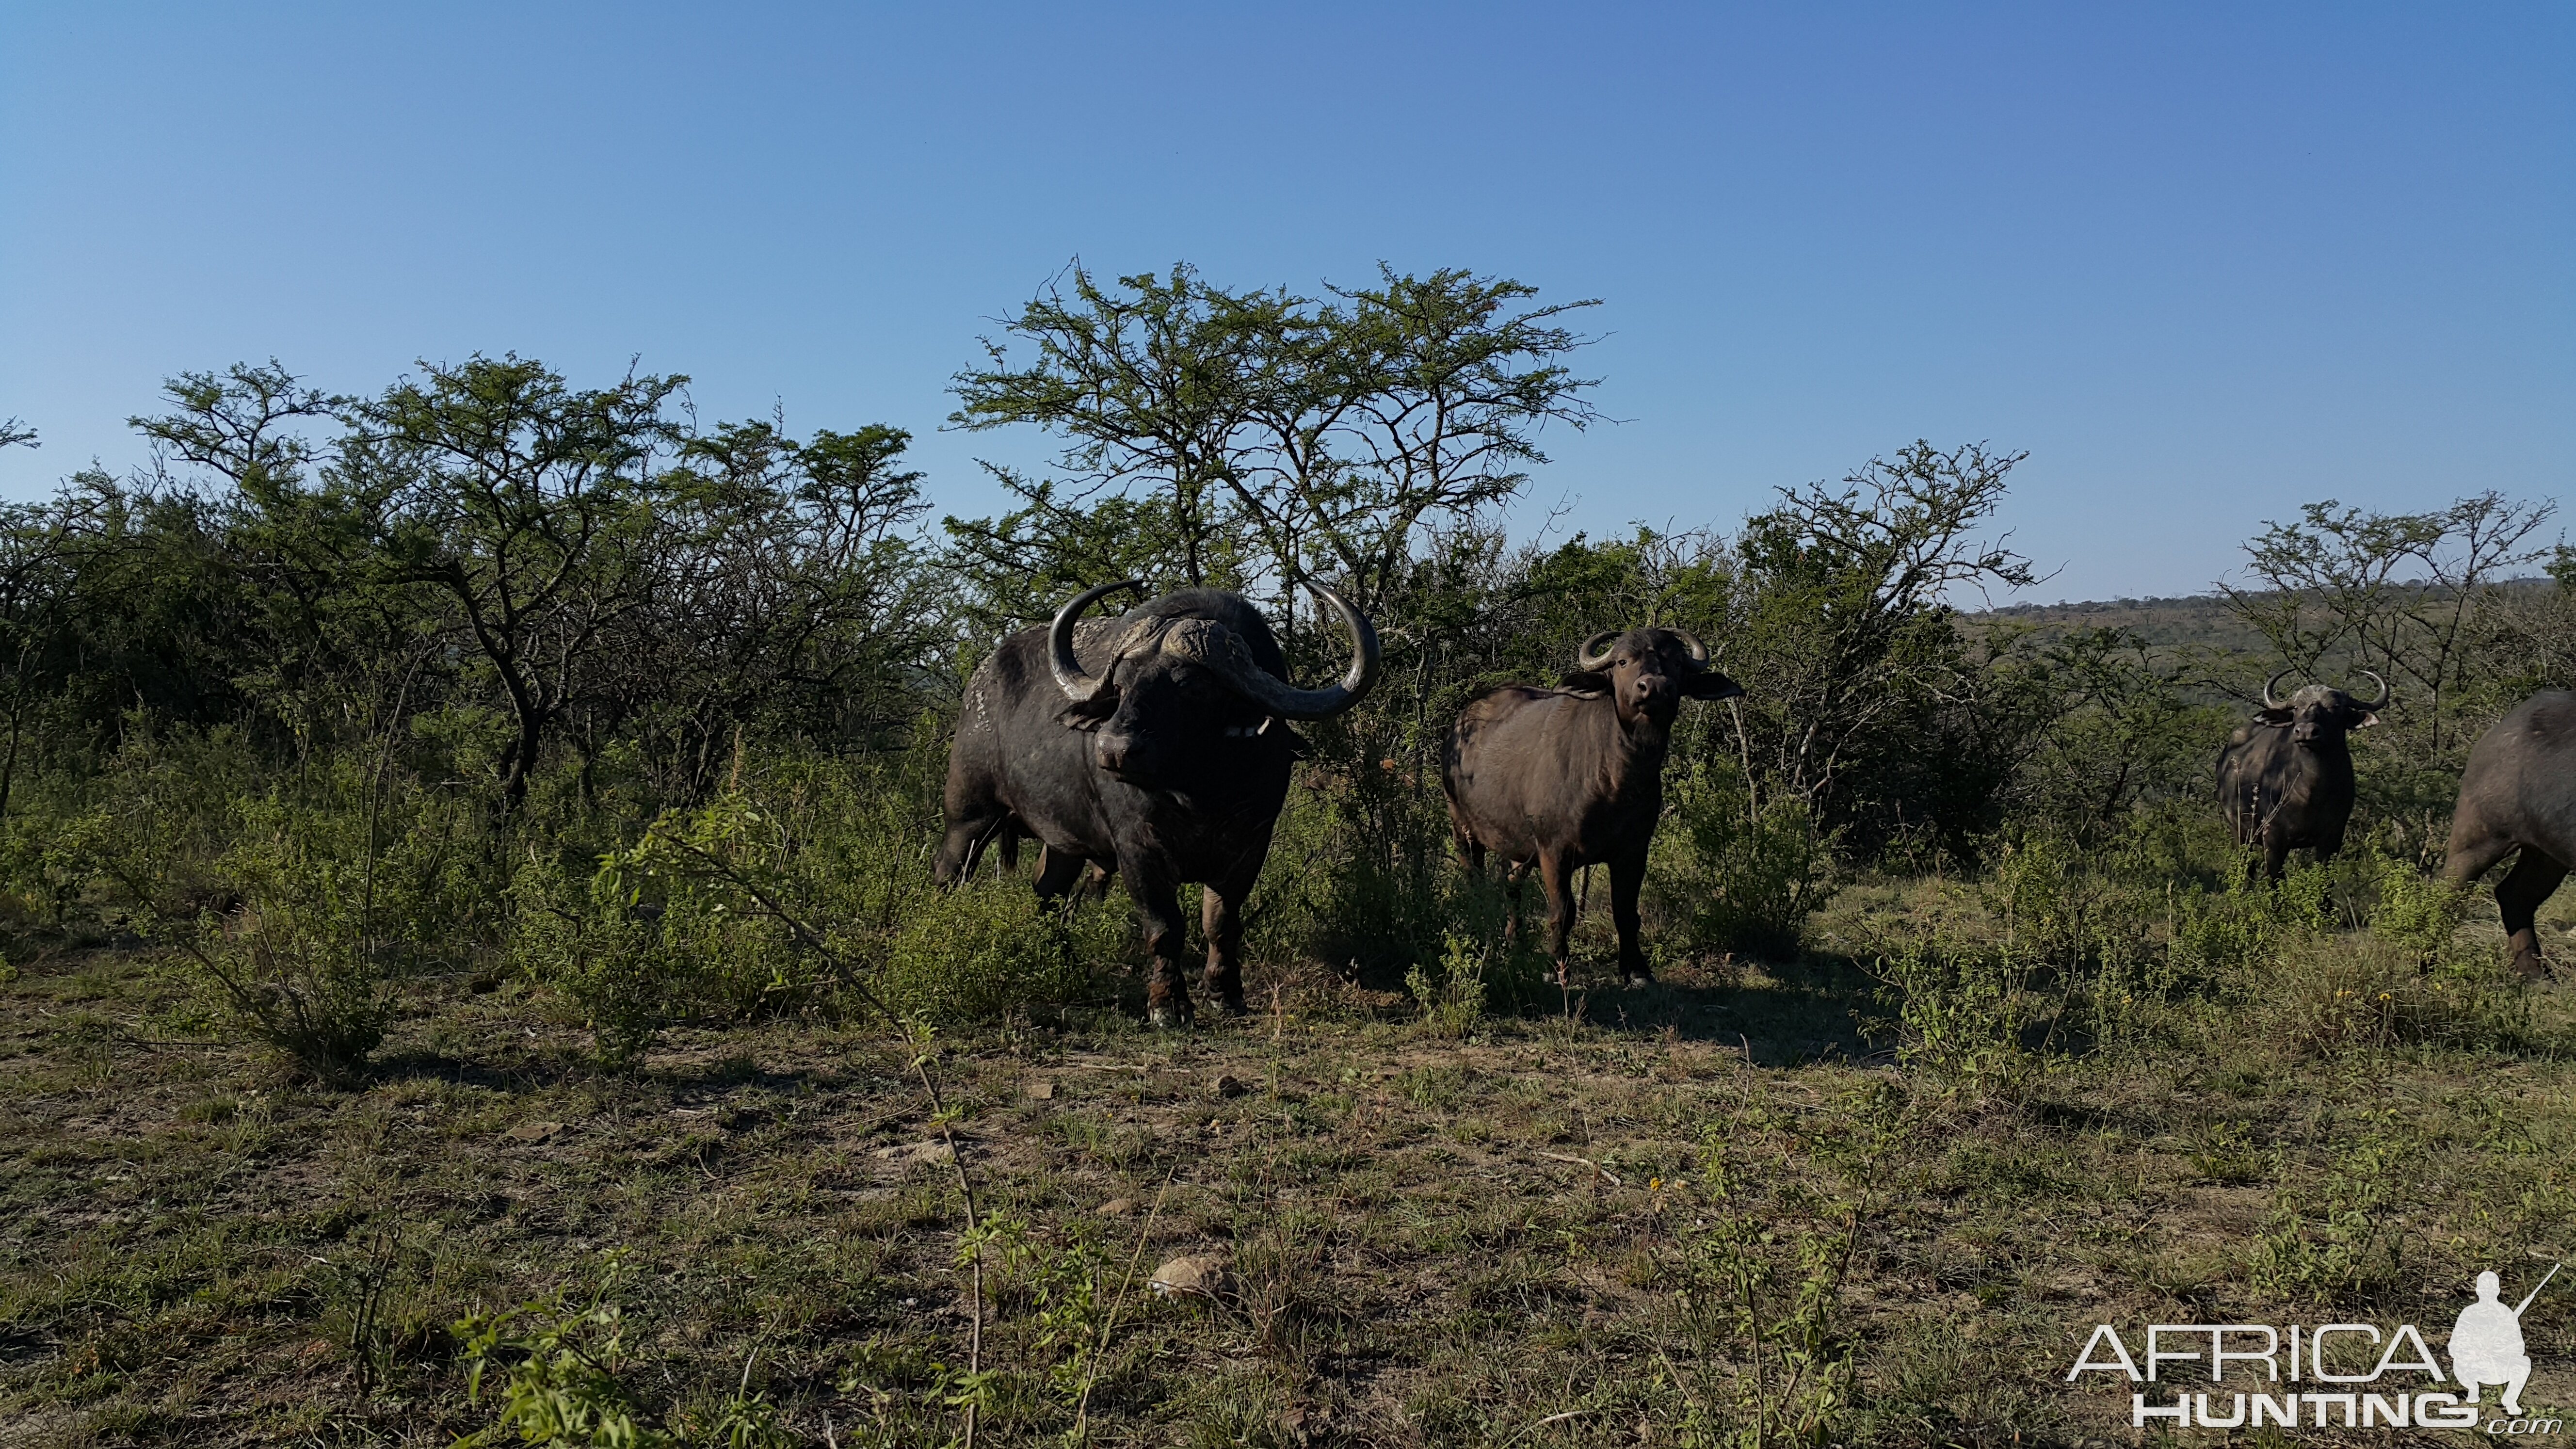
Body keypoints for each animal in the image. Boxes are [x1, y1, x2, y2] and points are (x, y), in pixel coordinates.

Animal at [937, 577, 1381, 1026]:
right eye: (1121, 685)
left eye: (1191, 687)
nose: (1114, 750)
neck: (1201, 791)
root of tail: (979, 682)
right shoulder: (1138, 849)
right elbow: (1164, 926)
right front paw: (1168, 1004)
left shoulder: (1250, 846)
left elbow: (1221, 923)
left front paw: (1225, 993)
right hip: (969, 816)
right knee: (950, 874)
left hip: (1062, 842)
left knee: (1048, 891)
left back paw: (1065, 964)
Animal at [1442, 626, 1741, 984]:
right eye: (1623, 661)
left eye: (1678, 663)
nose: (1655, 687)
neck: (1616, 777)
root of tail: (1459, 726)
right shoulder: (1554, 852)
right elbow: (1563, 911)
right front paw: (1557, 967)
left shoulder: (1634, 851)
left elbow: (1625, 911)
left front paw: (1637, 970)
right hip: (1463, 828)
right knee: (1475, 883)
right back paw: (1479, 939)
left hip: (1517, 846)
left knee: (1512, 886)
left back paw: (1516, 942)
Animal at [2215, 670, 2390, 882]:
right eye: (2297, 707)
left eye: (2335, 708)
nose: (2306, 731)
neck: (2311, 792)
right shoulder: (2273, 838)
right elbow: (2276, 880)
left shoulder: (2332, 838)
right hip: (2239, 833)